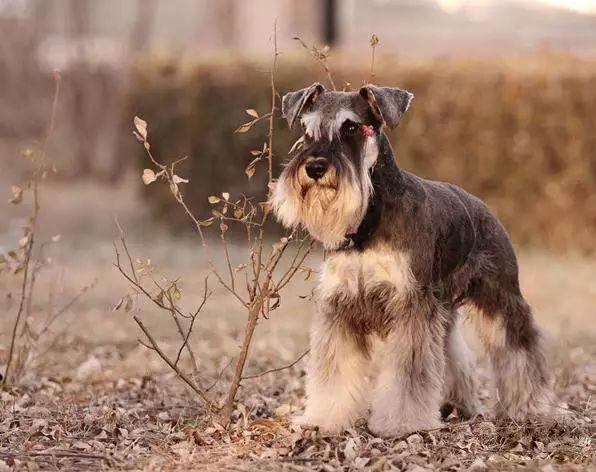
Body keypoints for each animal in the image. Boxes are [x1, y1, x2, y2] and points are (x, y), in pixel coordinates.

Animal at [272, 82, 560, 438]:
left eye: (351, 127)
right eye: (306, 130)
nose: (314, 167)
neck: (370, 220)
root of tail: (483, 206)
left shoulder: (412, 305)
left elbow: (407, 376)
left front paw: (403, 423)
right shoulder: (341, 307)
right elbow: (335, 370)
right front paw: (324, 418)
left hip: (500, 297)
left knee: (520, 348)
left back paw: (532, 406)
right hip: (445, 310)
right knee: (454, 354)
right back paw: (458, 403)